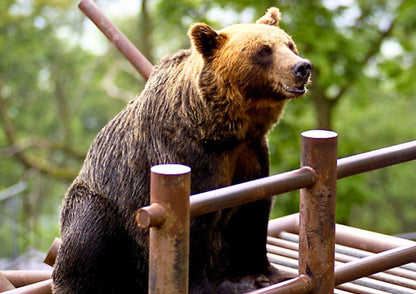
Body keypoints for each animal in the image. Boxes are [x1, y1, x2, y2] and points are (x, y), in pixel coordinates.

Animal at [52, 6, 308, 294]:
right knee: (88, 236)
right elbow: (192, 227)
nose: (302, 67)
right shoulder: (184, 155)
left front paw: (269, 273)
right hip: (101, 206)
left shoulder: (251, 153)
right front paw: (206, 285)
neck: (223, 130)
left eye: (289, 44)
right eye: (264, 50)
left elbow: (253, 210)